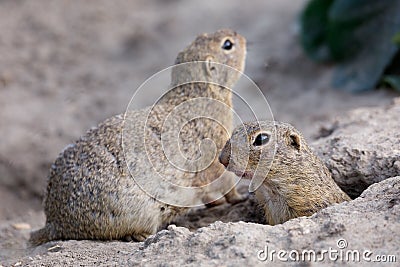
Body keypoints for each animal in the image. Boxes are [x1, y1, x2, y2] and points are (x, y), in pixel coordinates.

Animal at [29, 28, 247, 245]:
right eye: (227, 44)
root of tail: (55, 223)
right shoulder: (217, 146)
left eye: (201, 36)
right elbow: (226, 182)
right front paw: (239, 197)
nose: (240, 35)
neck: (198, 93)